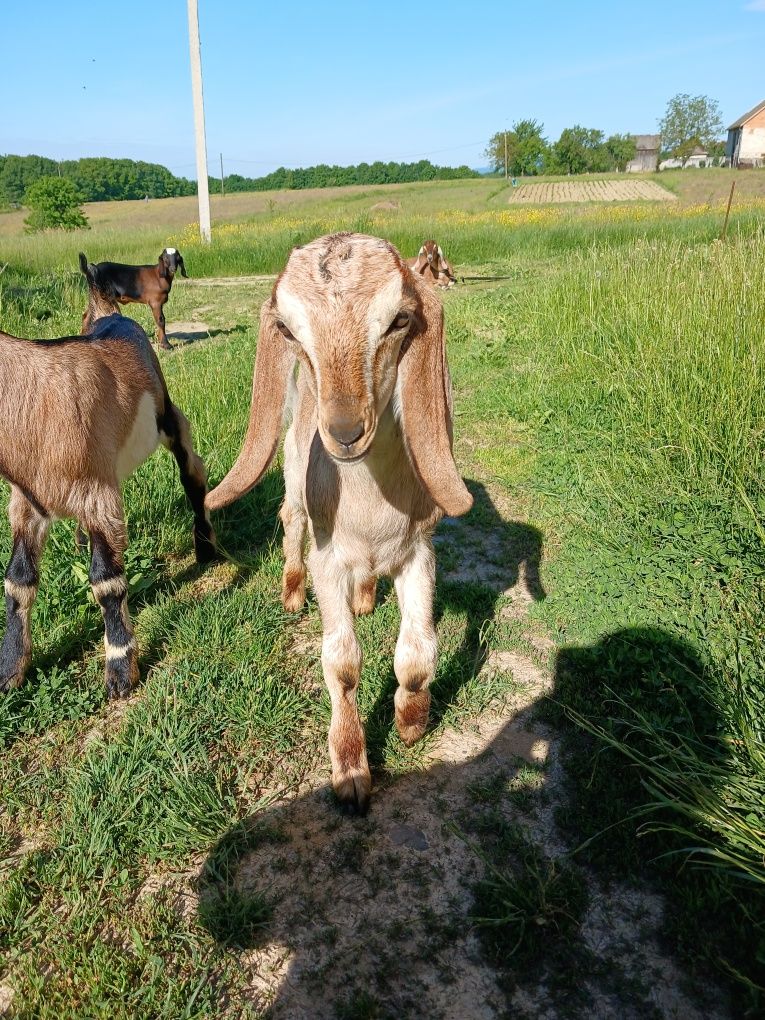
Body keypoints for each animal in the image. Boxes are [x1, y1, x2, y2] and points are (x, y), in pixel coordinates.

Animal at [0, 267, 216, 697]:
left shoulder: (97, 494)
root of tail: (108, 314)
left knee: (192, 473)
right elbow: (18, 580)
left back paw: (205, 546)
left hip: (167, 418)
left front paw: (119, 670)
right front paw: (10, 669)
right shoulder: (27, 503)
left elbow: (106, 580)